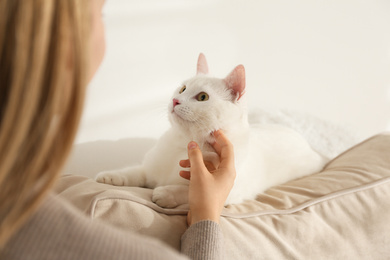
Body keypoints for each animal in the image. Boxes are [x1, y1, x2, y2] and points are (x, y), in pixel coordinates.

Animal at [95, 53, 326, 208]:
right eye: (182, 89)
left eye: (203, 97)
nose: (175, 100)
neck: (184, 143)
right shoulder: (148, 169)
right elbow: (134, 171)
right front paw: (110, 176)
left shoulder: (228, 190)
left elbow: (190, 191)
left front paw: (166, 193)